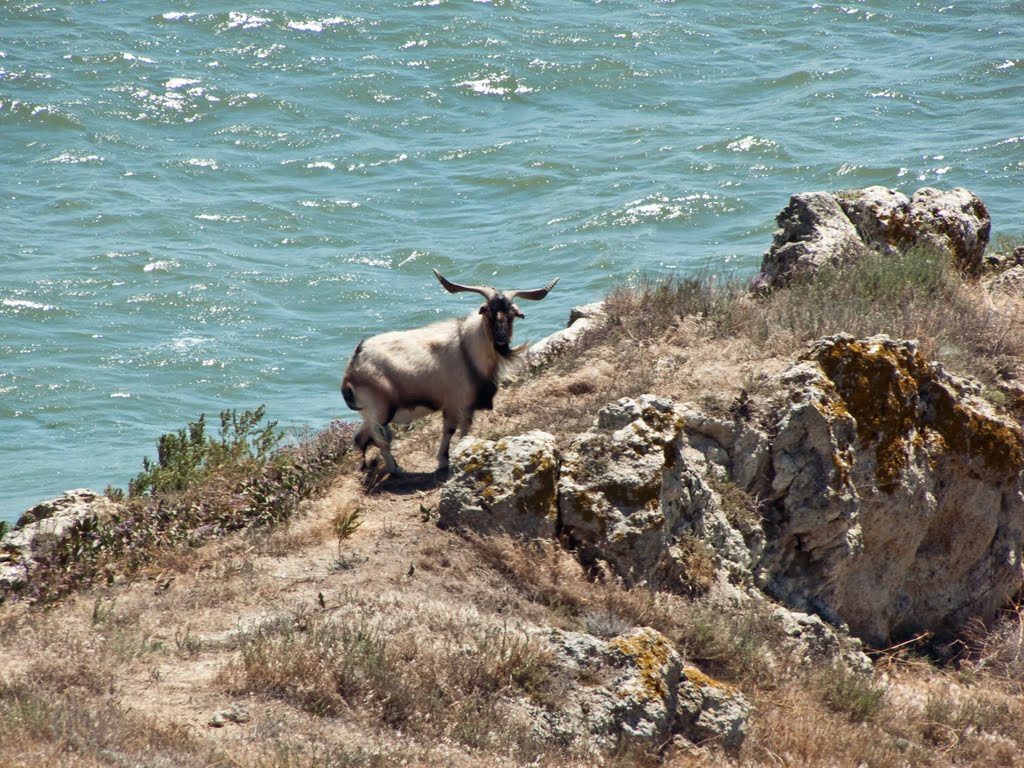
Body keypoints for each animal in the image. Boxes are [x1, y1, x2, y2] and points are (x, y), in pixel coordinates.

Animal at [342, 270, 561, 475]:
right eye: (489, 311)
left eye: (510, 314)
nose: (500, 338)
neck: (467, 348)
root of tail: (353, 367)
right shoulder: (454, 403)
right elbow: (450, 430)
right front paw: (443, 461)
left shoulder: (468, 405)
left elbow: (466, 428)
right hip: (379, 411)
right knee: (378, 439)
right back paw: (394, 469)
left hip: (370, 413)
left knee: (361, 437)